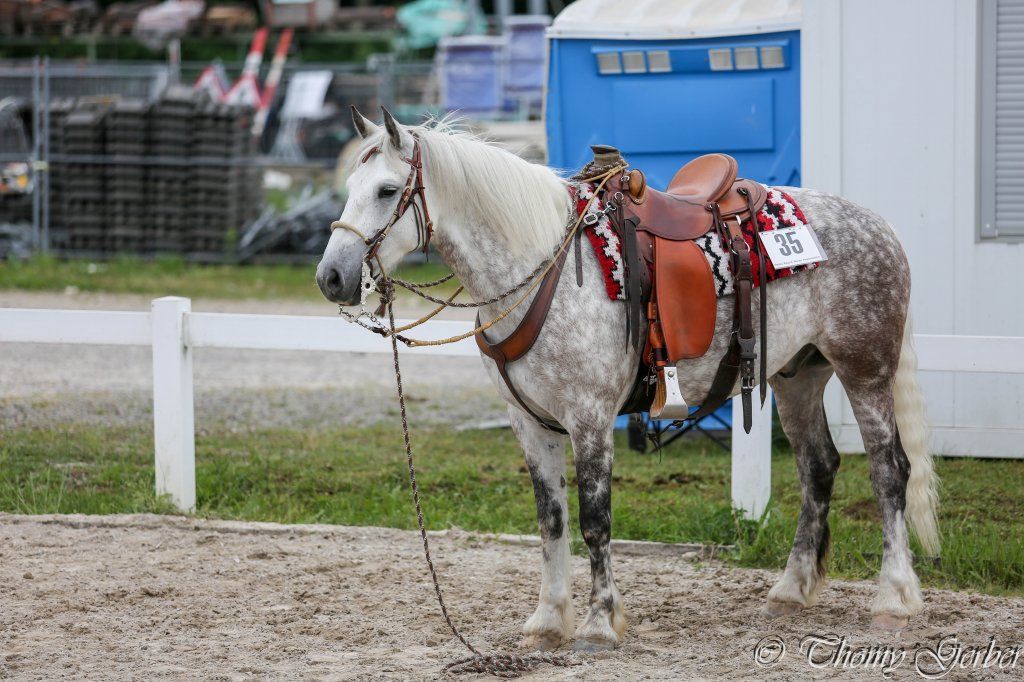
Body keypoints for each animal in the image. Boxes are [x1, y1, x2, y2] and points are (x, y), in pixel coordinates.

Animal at [316, 108, 940, 652]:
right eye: (349, 185)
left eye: (387, 191)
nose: (332, 277)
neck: (542, 269)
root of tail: (877, 225)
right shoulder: (531, 424)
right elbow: (551, 521)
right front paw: (548, 620)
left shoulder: (590, 420)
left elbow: (595, 521)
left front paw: (599, 623)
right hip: (797, 376)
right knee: (818, 468)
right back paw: (790, 589)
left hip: (864, 371)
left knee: (889, 470)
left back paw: (895, 597)